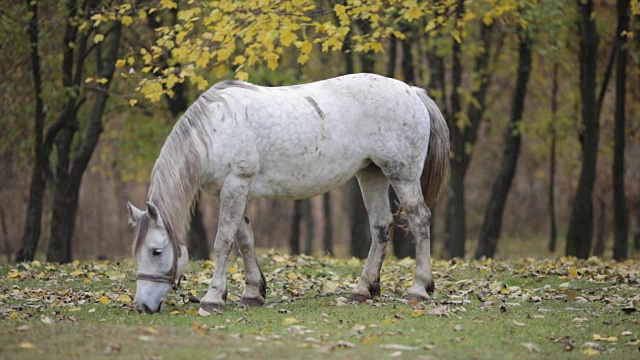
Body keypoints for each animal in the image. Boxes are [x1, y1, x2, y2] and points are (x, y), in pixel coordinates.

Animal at [124, 72, 444, 312]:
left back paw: (419, 289)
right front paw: (252, 293)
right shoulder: (235, 192)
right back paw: (363, 290)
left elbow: (224, 242)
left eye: (156, 251)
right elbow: (245, 240)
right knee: (380, 226)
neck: (214, 131)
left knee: (419, 219)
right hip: (371, 174)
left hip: (401, 173)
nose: (142, 306)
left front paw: (213, 298)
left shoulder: (235, 185)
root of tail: (412, 92)